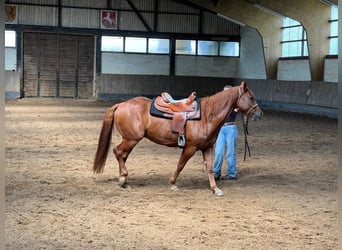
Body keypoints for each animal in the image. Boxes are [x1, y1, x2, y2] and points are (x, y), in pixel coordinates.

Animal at [93, 81, 262, 196]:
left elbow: (209, 168)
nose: (260, 114)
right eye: (251, 97)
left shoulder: (207, 147)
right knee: (118, 152)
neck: (207, 115)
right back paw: (123, 179)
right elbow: (180, 165)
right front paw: (173, 183)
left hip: (130, 140)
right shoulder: (190, 148)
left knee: (122, 155)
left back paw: (123, 179)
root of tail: (121, 105)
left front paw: (215, 188)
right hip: (131, 139)